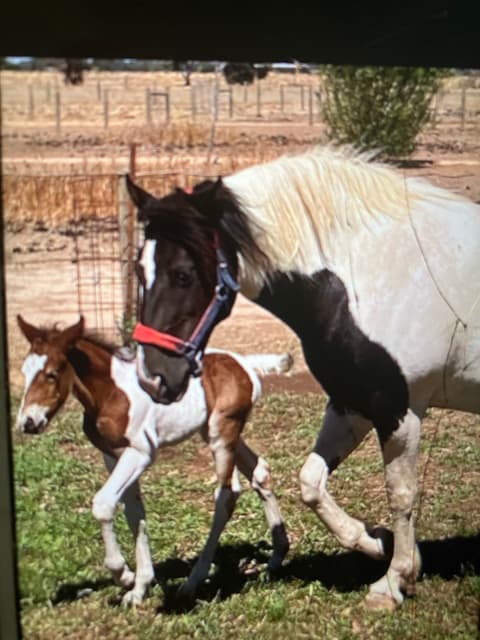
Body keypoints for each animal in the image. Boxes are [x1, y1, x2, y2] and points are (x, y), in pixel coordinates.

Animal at [16, 314, 293, 605]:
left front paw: (124, 575)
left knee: (227, 494)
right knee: (260, 472)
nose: (28, 423)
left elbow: (103, 504)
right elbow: (134, 512)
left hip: (222, 433)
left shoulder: (141, 453)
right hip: (216, 432)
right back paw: (276, 558)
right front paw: (139, 588)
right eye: (24, 371)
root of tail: (243, 363)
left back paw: (193, 581)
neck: (111, 393)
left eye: (52, 374)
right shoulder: (113, 456)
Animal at [126, 145, 480, 609]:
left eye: (183, 274)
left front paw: (392, 581)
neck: (364, 275)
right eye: (138, 270)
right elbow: (310, 483)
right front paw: (377, 543)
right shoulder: (352, 403)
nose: (153, 378)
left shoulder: (399, 410)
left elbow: (401, 494)